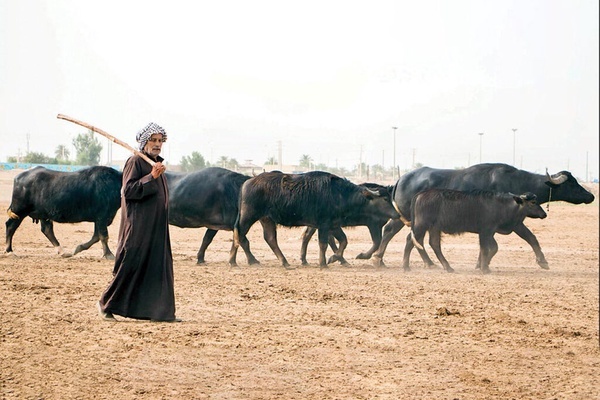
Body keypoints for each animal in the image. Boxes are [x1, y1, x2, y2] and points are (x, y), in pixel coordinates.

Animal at [232, 170, 400, 268]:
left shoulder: (334, 225)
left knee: (269, 238)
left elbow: (343, 241)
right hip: (248, 216)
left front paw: (334, 258)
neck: (339, 195)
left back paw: (284, 262)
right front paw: (323, 263)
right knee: (239, 234)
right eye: (385, 199)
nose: (397, 214)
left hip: (267, 219)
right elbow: (323, 244)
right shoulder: (324, 225)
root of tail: (248, 182)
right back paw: (235, 261)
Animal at [404, 189, 548, 274]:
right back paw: (406, 266)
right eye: (533, 202)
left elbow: (531, 238)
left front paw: (543, 262)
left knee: (433, 244)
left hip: (434, 228)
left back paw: (448, 267)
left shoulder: (513, 226)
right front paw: (484, 268)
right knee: (411, 241)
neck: (503, 205)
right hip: (421, 225)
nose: (544, 214)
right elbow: (486, 248)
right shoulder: (485, 231)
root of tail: (421, 194)